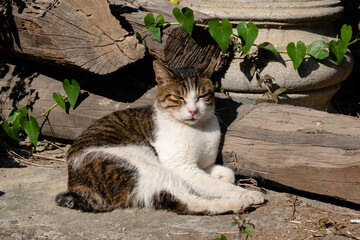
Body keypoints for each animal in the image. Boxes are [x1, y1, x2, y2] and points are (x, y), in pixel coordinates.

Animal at [56, 60, 264, 214]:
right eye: (178, 98)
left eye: (201, 96)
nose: (193, 110)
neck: (199, 129)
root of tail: (74, 185)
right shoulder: (182, 167)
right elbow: (216, 185)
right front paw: (244, 193)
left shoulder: (202, 165)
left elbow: (226, 175)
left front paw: (223, 178)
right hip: (147, 167)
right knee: (189, 203)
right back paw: (240, 203)